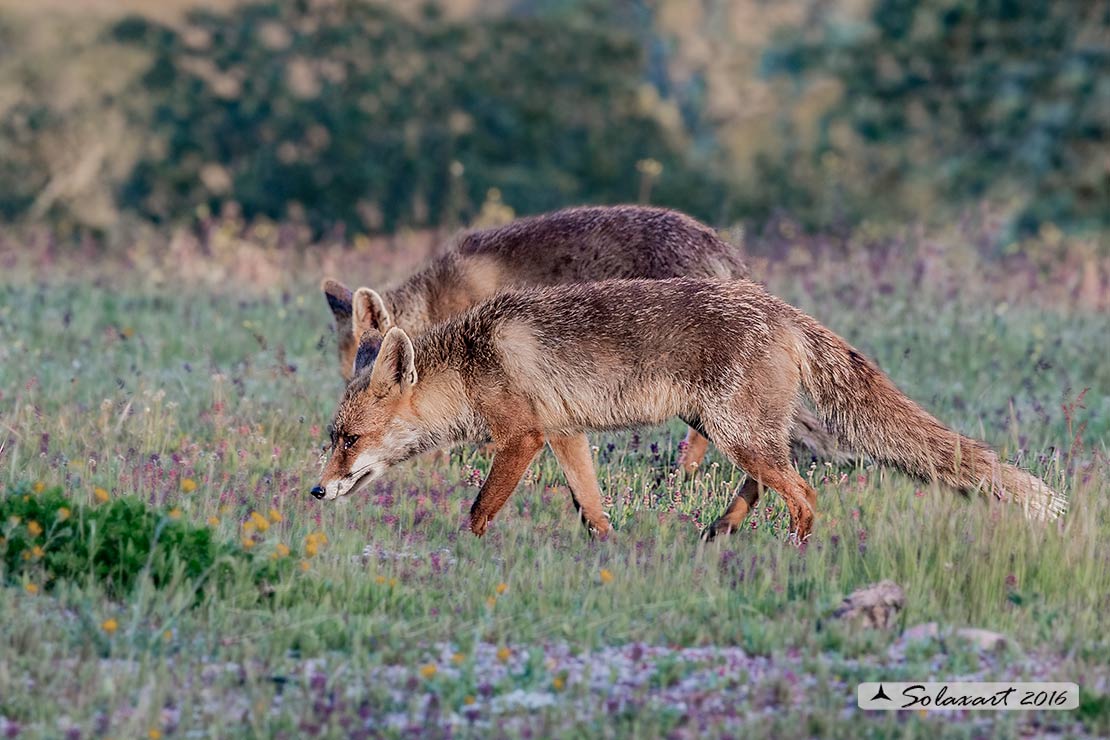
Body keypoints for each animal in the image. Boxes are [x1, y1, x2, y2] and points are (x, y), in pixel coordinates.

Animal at [315, 279, 1065, 543]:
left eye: (348, 439)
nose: (316, 491)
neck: (474, 361)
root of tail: (781, 309)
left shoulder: (522, 437)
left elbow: (478, 510)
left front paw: (462, 551)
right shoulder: (565, 434)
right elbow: (591, 504)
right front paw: (607, 547)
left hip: (737, 432)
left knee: (804, 494)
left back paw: (789, 552)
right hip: (735, 430)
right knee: (768, 483)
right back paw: (721, 531)